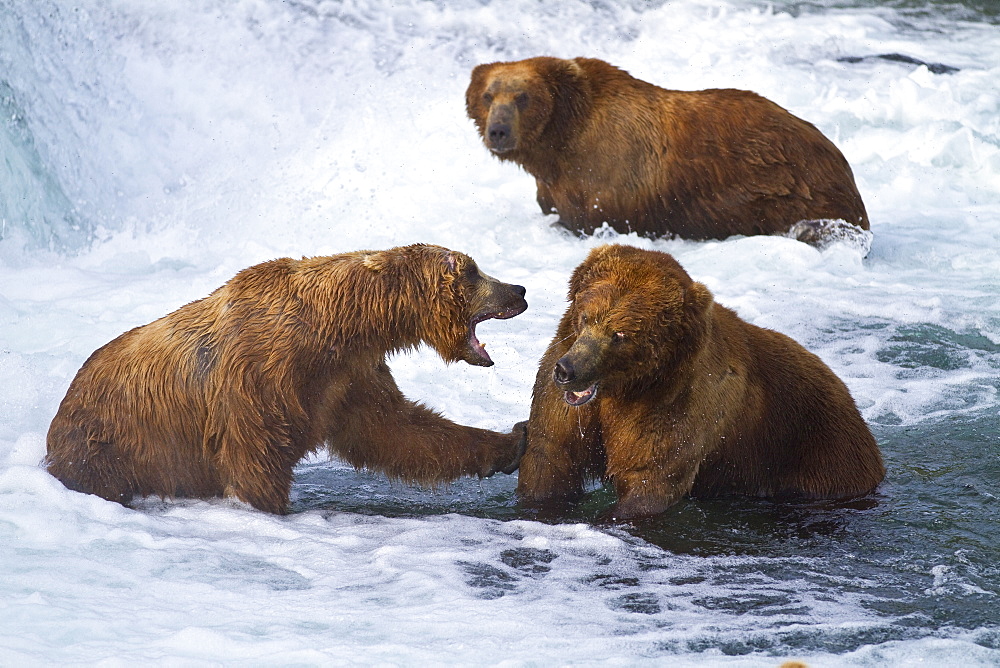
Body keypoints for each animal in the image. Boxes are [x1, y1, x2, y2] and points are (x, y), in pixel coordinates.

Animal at [45, 243, 532, 516]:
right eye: (472, 271)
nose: (519, 290)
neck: (339, 326)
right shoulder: (261, 377)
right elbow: (256, 460)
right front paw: (269, 508)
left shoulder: (346, 378)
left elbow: (397, 430)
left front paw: (512, 438)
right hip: (107, 446)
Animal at [468, 56, 868, 247]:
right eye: (488, 95)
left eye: (522, 96)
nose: (498, 131)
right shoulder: (555, 185)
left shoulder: (605, 180)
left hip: (790, 188)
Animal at [516, 243, 884, 520]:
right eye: (585, 316)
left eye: (620, 333)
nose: (569, 370)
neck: (622, 388)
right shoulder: (567, 403)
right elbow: (551, 457)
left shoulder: (676, 403)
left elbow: (650, 477)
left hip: (818, 447)